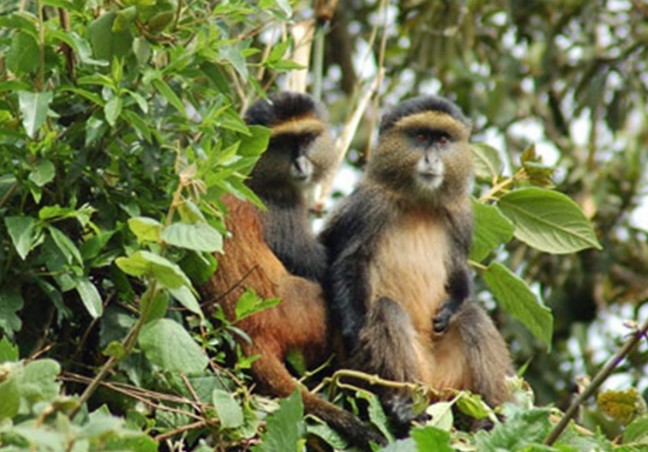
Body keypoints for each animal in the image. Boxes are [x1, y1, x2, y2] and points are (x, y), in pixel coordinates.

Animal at [201, 92, 385, 447]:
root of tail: (251, 331)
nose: (300, 164)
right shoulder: (281, 208)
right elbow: (322, 267)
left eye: (307, 138)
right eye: (285, 143)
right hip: (304, 316)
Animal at [320, 95, 513, 426]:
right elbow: (349, 263)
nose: (432, 159)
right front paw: (354, 332)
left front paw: (451, 305)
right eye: (421, 136)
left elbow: (458, 270)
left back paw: (493, 417)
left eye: (443, 139)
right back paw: (401, 406)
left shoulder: (461, 217)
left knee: (473, 317)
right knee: (386, 310)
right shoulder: (367, 207)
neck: (418, 202)